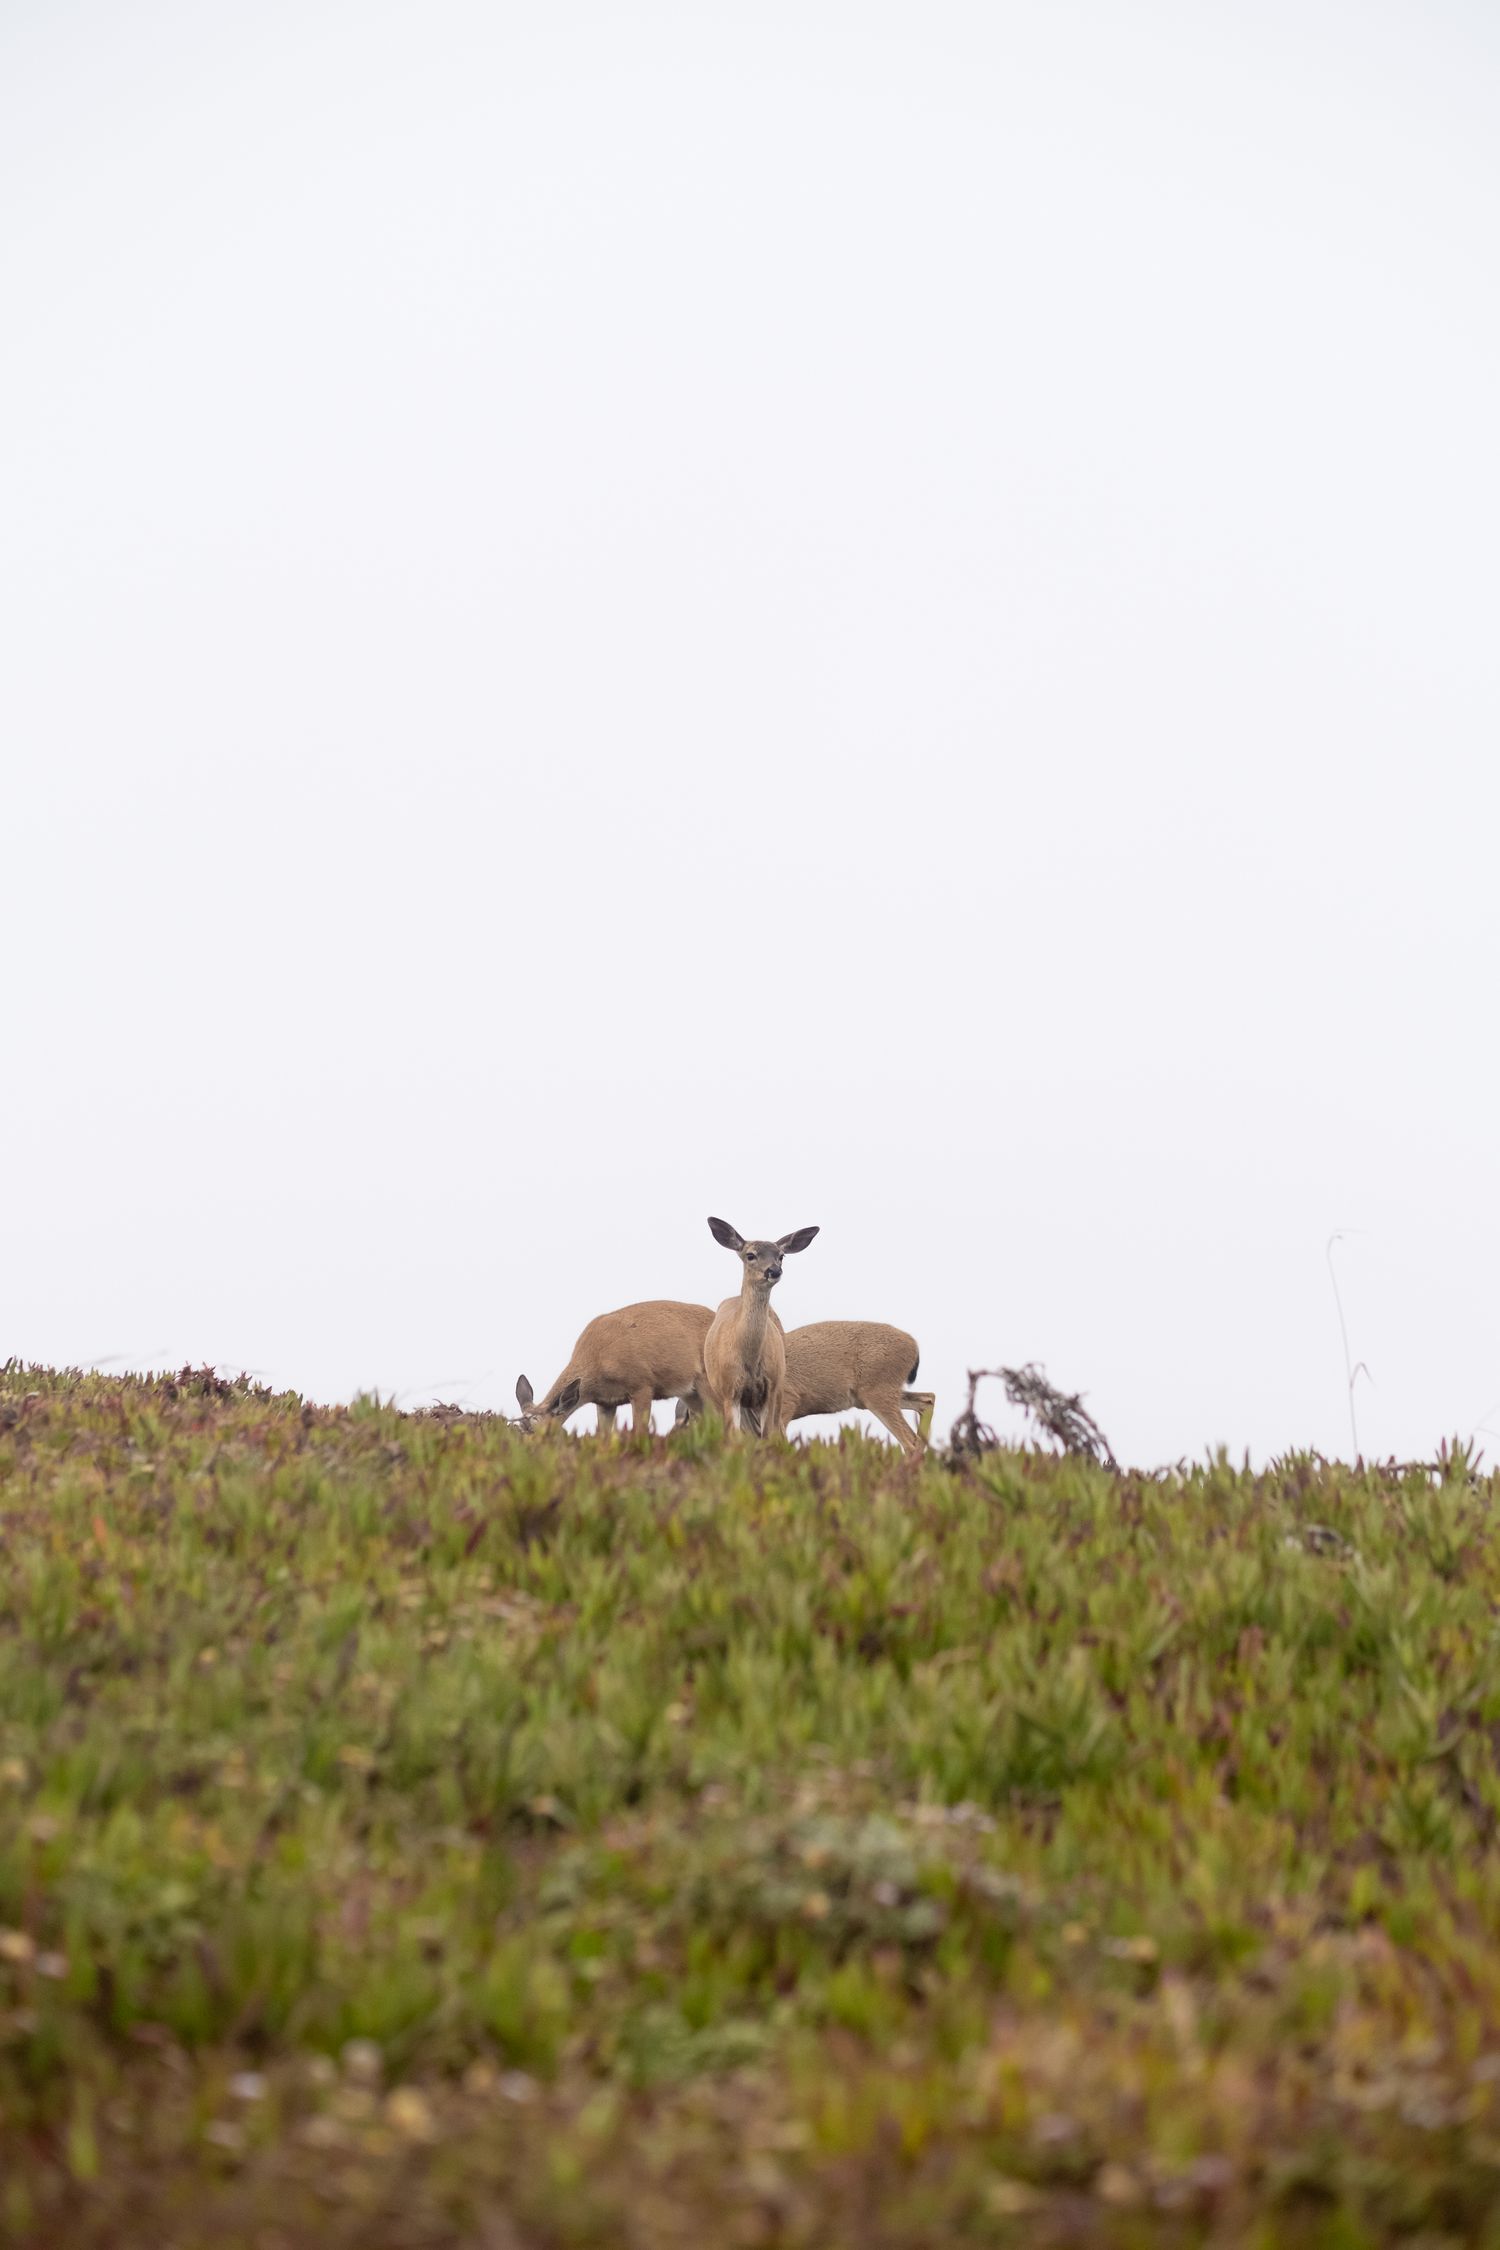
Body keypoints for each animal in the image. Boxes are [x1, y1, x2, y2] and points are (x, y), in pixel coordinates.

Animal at [515, 1300, 713, 1437]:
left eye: (538, 1430)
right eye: (518, 1429)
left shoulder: (642, 1384)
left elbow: (639, 1431)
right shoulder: (605, 1402)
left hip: (707, 1380)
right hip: (690, 1393)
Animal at [701, 1217, 819, 1436]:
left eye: (781, 1256)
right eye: (750, 1255)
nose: (774, 1271)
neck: (750, 1359)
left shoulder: (771, 1387)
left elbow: (768, 1434)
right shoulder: (729, 1390)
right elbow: (733, 1435)